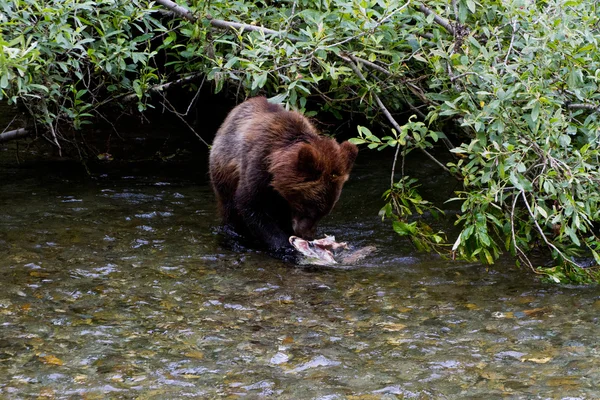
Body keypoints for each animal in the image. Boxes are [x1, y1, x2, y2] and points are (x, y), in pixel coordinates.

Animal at [210, 97, 356, 252]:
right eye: (309, 208)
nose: (307, 235)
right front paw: (285, 245)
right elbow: (251, 205)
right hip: (223, 175)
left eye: (323, 213)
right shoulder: (257, 165)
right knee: (230, 211)